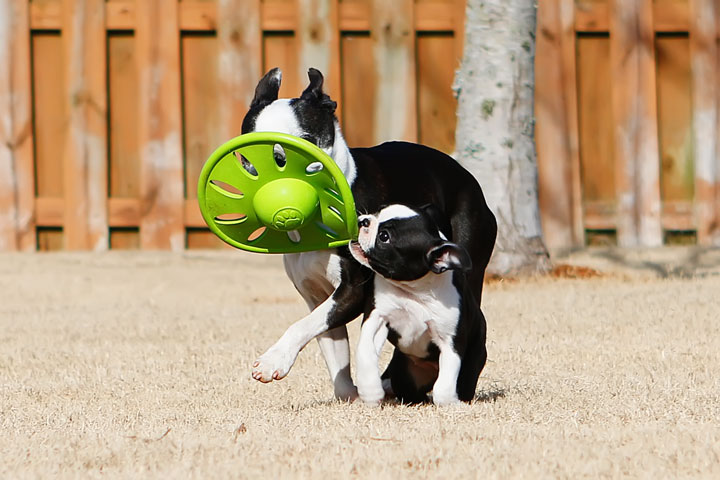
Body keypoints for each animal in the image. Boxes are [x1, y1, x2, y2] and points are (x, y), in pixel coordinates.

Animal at [348, 203, 486, 404]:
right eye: (379, 211)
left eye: (384, 237)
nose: (363, 221)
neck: (416, 291)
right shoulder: (377, 317)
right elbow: (365, 350)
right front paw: (370, 392)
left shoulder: (450, 342)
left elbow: (444, 387)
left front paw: (451, 403)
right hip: (406, 373)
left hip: (472, 362)